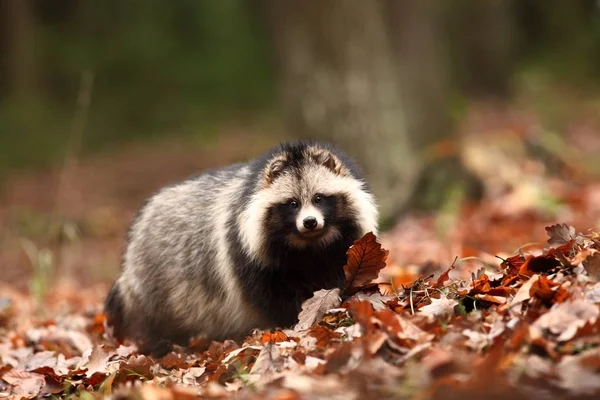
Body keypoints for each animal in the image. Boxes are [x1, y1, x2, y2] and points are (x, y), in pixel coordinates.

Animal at [105, 140, 378, 354]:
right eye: (292, 203)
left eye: (319, 198)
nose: (310, 222)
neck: (309, 246)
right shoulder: (247, 255)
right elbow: (272, 297)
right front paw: (292, 320)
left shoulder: (339, 248)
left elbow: (335, 274)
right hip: (153, 280)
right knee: (150, 320)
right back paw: (157, 344)